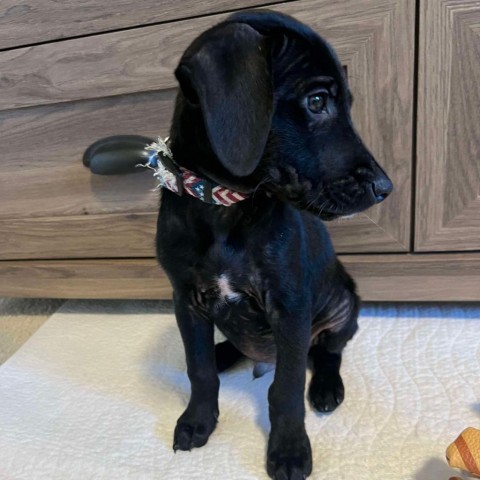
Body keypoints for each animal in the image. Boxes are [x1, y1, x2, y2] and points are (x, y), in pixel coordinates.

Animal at [156, 8, 392, 480]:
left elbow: (285, 389)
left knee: (328, 351)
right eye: (317, 102)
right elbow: (198, 369)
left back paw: (325, 386)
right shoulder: (185, 299)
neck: (224, 207)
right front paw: (198, 420)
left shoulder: (289, 306)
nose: (385, 188)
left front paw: (288, 450)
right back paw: (224, 352)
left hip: (345, 305)